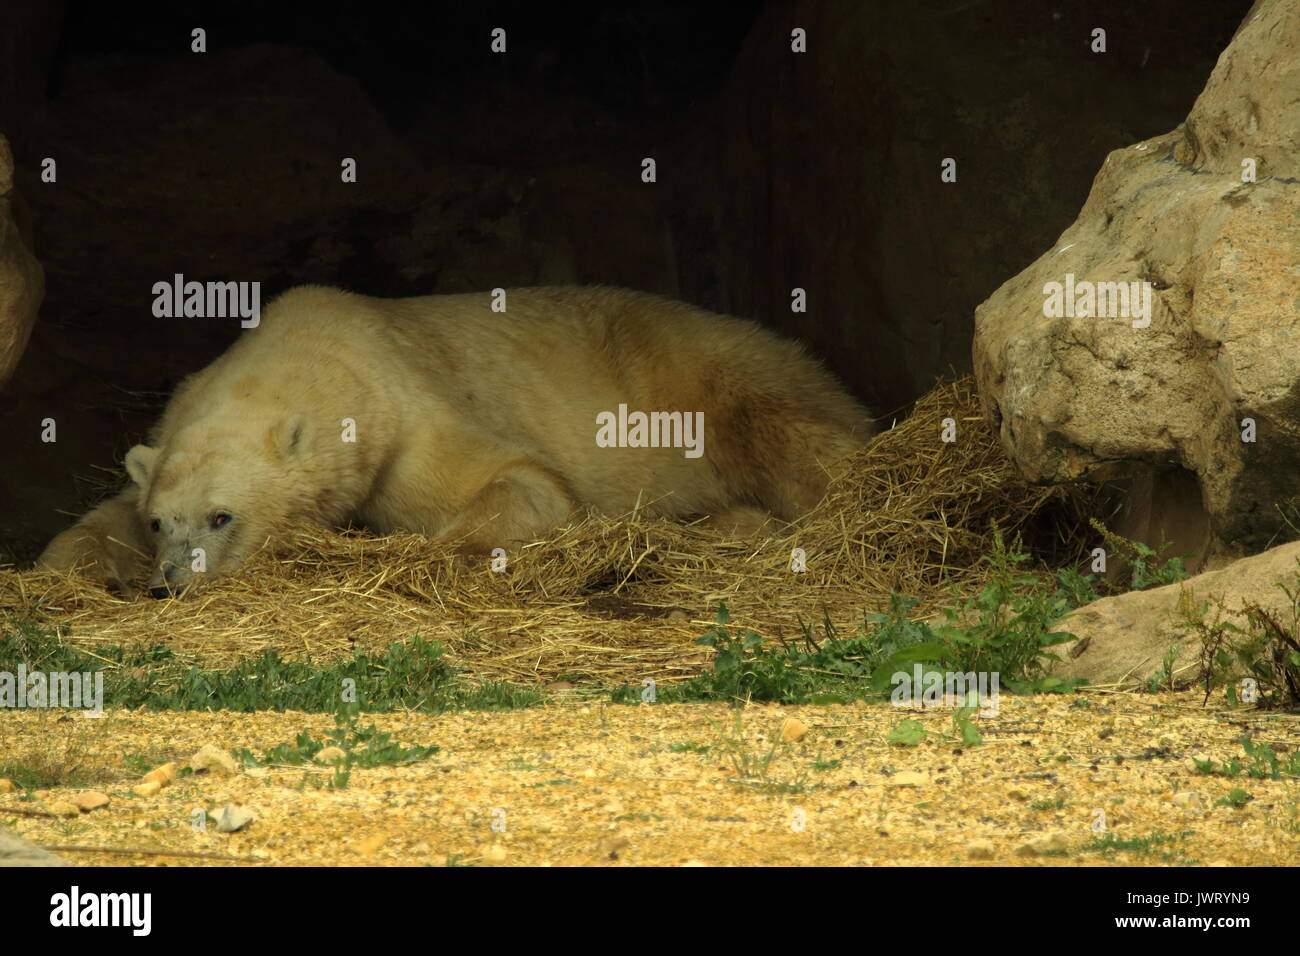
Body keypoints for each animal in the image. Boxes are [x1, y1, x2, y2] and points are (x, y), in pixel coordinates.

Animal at [38, 286, 873, 598]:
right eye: (160, 522)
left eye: (223, 517)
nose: (170, 582)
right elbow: (101, 515)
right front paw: (64, 565)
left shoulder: (406, 417)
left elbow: (525, 481)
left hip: (709, 373)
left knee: (789, 432)